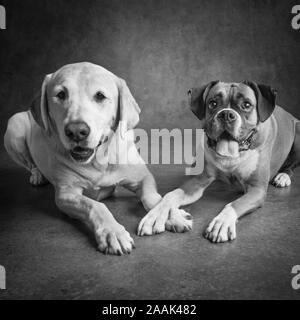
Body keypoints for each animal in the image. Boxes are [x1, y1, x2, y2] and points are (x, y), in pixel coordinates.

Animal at [138, 82, 300, 242]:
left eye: (246, 105)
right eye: (213, 103)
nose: (226, 114)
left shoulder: (257, 189)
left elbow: (234, 204)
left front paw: (222, 223)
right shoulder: (200, 179)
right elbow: (172, 194)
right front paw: (155, 215)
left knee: (292, 165)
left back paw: (283, 176)